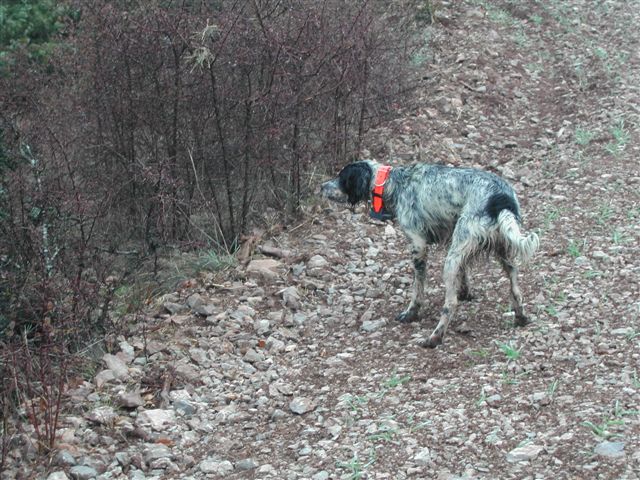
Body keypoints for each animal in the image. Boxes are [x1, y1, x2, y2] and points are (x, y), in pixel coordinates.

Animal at [320, 159, 540, 346]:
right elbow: (464, 273)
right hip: (500, 250)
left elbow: (417, 289)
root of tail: (501, 199)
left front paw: (411, 313)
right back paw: (521, 317)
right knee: (515, 286)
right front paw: (466, 292)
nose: (322, 186)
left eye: (341, 177)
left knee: (450, 303)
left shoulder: (418, 245)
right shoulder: (454, 241)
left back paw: (434, 337)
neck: (394, 183)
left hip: (452, 259)